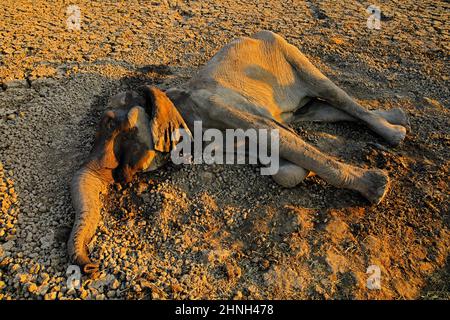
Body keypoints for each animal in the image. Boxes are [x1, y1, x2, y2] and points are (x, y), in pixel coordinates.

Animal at [68, 30, 410, 276]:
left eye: (116, 125)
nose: (92, 267)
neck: (171, 96)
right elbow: (283, 167)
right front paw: (302, 171)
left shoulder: (221, 106)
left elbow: (275, 136)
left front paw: (378, 188)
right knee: (318, 109)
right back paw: (398, 121)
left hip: (289, 53)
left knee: (334, 95)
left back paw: (394, 136)